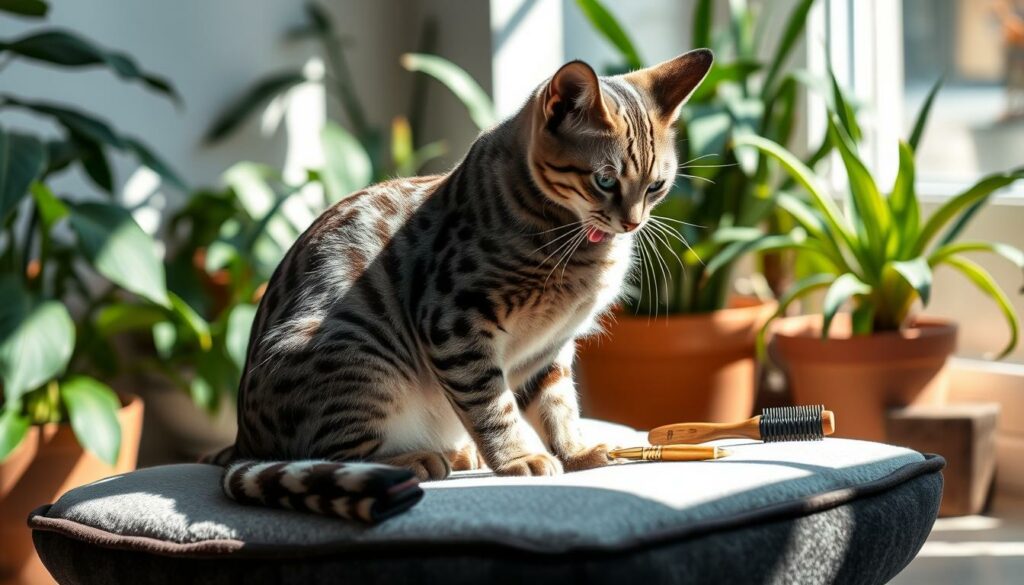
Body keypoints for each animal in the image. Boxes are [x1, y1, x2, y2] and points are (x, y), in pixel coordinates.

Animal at [214, 49, 712, 516]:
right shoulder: (454, 323)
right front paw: (518, 458)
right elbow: (493, 405)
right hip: (360, 355)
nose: (632, 223)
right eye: (605, 180)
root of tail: (243, 444)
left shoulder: (551, 346)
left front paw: (576, 450)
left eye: (656, 186)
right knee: (333, 454)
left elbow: (559, 404)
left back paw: (455, 452)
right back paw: (418, 458)